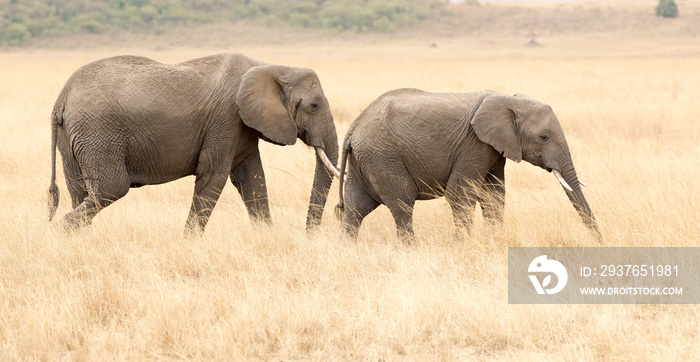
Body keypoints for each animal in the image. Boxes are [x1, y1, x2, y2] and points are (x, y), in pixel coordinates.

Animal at [336, 87, 600, 242]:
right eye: (544, 137)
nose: (600, 240)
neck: (508, 99)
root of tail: (353, 127)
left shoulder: (494, 148)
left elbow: (494, 195)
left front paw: (495, 240)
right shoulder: (474, 144)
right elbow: (460, 193)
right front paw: (462, 244)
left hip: (366, 160)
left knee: (355, 209)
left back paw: (348, 250)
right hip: (383, 157)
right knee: (402, 203)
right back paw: (410, 250)